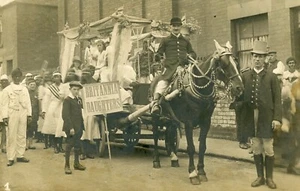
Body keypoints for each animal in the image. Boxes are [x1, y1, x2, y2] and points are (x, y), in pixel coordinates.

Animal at [150, 39, 244, 184]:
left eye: (236, 62)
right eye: (224, 63)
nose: (239, 88)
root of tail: (155, 78)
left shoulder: (206, 121)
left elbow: (202, 147)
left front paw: (201, 171)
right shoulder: (189, 122)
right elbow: (191, 147)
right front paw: (193, 173)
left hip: (171, 117)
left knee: (170, 134)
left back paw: (174, 158)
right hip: (156, 117)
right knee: (155, 135)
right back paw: (156, 160)